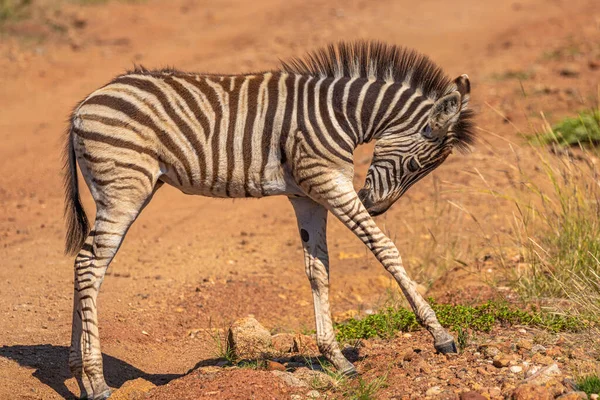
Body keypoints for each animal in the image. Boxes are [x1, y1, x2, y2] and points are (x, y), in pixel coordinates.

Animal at [64, 40, 474, 396]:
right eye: (416, 165)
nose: (374, 207)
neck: (340, 115)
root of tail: (84, 104)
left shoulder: (306, 195)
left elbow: (318, 270)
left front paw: (337, 359)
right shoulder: (328, 181)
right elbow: (384, 249)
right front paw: (441, 336)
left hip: (125, 191)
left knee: (86, 265)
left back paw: (80, 376)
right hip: (124, 190)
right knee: (89, 265)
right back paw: (97, 381)